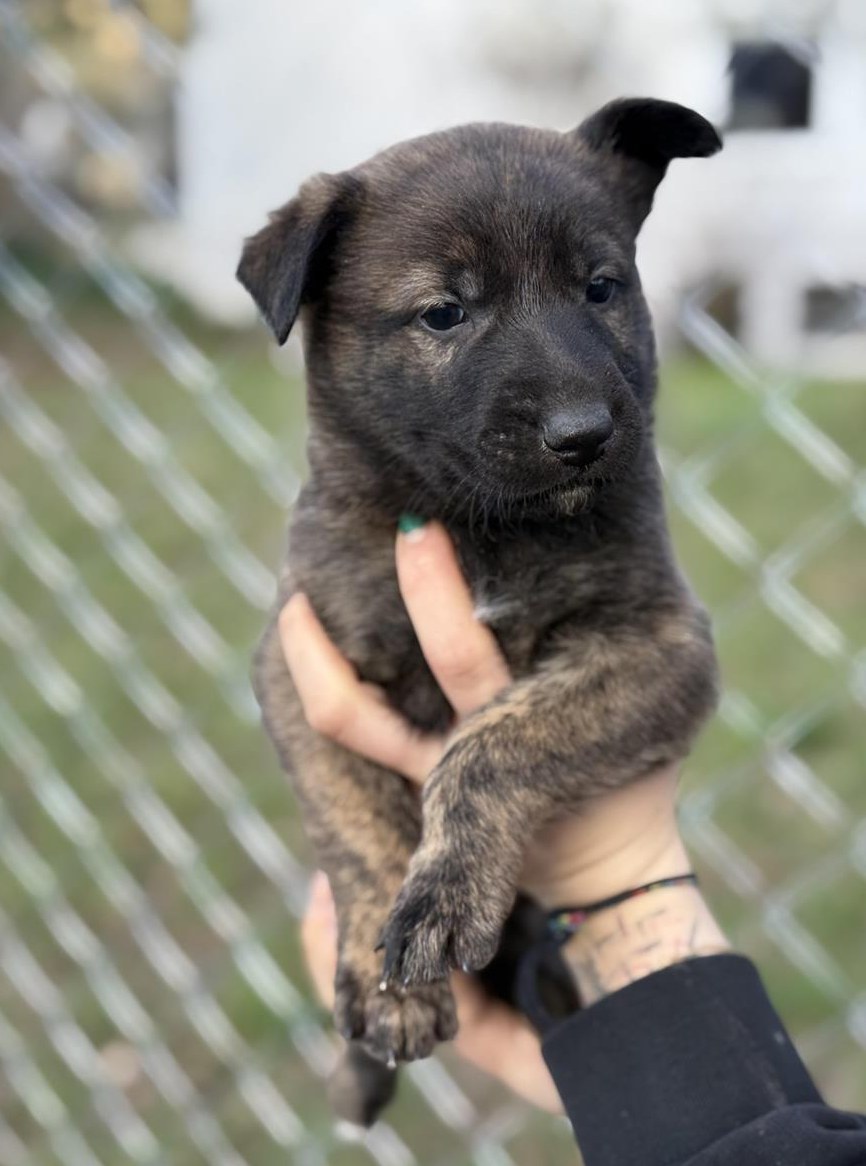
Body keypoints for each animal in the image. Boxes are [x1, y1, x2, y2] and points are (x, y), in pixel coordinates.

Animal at [237, 98, 722, 1125]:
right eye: (444, 312)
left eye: (600, 288)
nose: (585, 435)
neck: (483, 528)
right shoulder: (300, 663)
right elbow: (354, 817)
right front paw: (388, 972)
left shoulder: (662, 643)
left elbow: (496, 742)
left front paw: (445, 895)